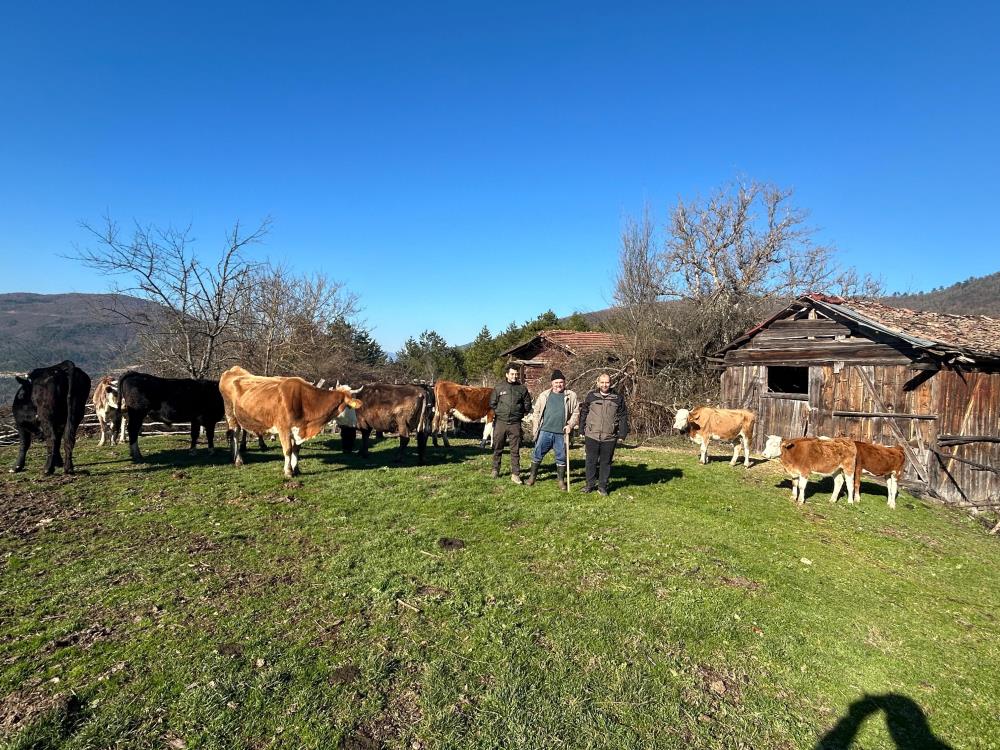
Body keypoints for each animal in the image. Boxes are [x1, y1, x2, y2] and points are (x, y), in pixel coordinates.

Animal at [221, 366, 362, 482]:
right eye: (350, 407)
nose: (356, 424)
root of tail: (233, 370)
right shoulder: (284, 429)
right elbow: (288, 449)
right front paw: (288, 471)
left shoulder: (298, 429)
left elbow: (296, 449)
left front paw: (296, 469)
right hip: (230, 413)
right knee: (235, 434)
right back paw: (238, 460)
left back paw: (233, 456)